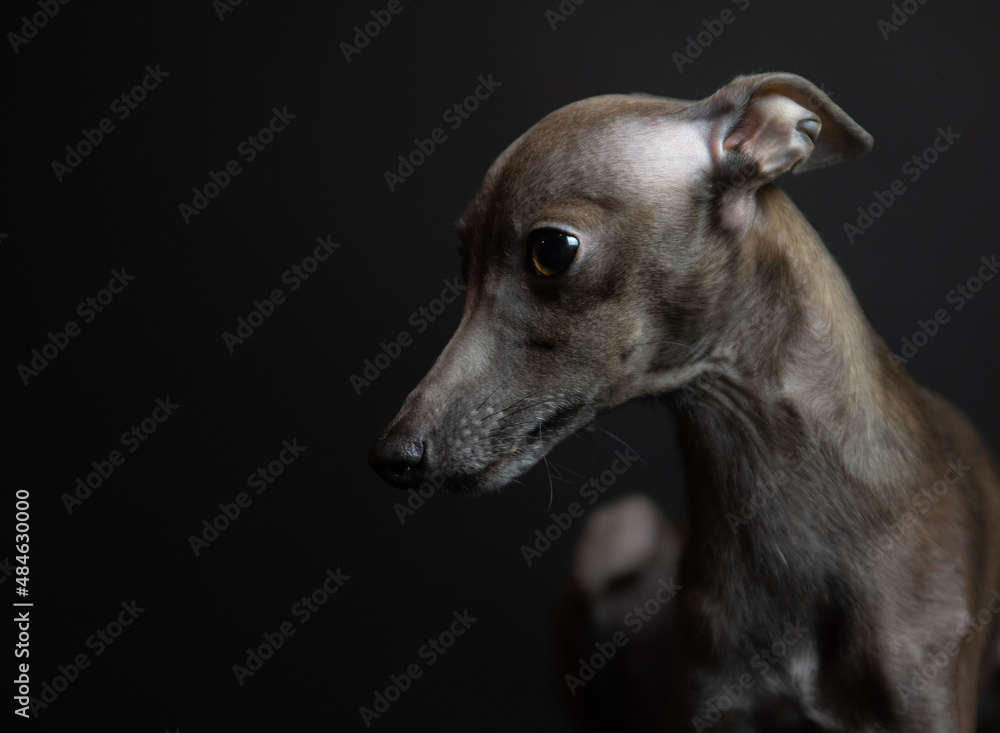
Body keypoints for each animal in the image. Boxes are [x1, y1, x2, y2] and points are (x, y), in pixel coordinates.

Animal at [370, 71, 1000, 728]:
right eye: (463, 262)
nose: (392, 456)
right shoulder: (706, 702)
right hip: (620, 530)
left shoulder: (924, 699)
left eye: (552, 250)